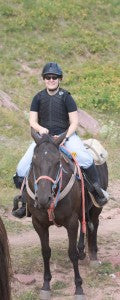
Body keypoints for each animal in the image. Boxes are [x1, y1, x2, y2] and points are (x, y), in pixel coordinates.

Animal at [26, 130, 108, 298]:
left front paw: (79, 288)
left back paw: (93, 256)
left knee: (94, 226)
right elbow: (46, 252)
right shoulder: (39, 224)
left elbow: (72, 253)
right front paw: (45, 286)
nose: (43, 198)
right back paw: (83, 250)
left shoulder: (71, 222)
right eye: (34, 161)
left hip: (96, 209)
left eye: (57, 161)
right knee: (85, 224)